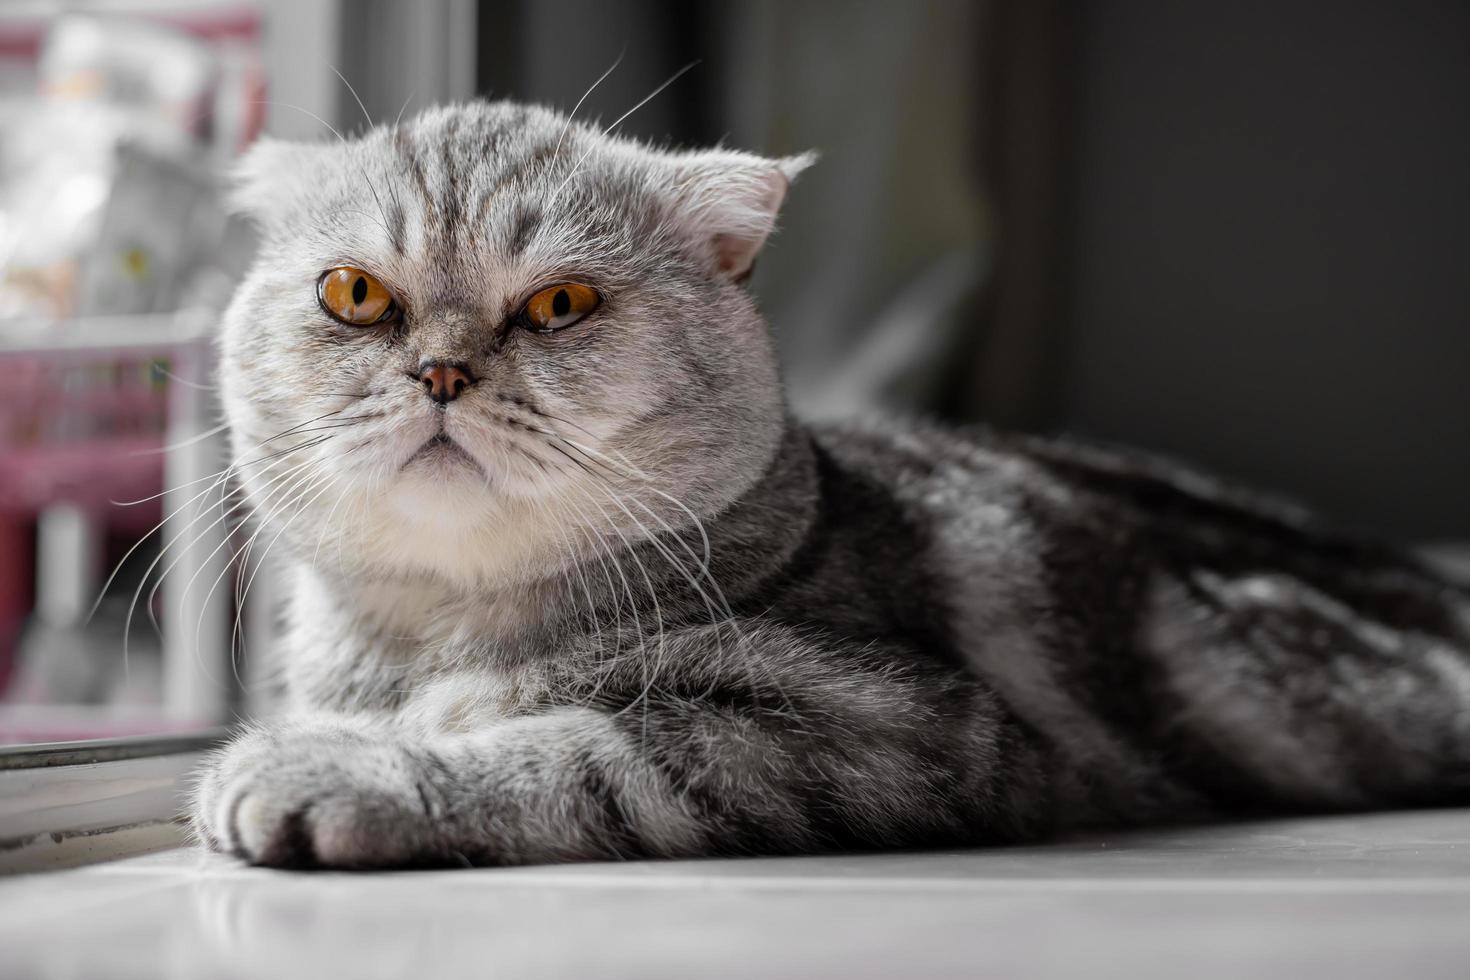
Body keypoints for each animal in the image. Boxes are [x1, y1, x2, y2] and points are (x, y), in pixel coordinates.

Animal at [192, 97, 1470, 863]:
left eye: (560, 303)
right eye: (355, 293)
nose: (442, 370)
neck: (436, 633)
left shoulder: (894, 728)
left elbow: (565, 751)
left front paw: (327, 771)